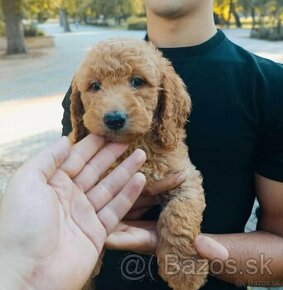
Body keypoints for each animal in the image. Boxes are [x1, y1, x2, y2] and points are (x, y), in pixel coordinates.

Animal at [70, 38, 207, 290]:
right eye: (95, 86)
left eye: (137, 81)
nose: (114, 119)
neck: (133, 145)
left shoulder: (185, 178)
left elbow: (179, 216)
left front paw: (184, 270)